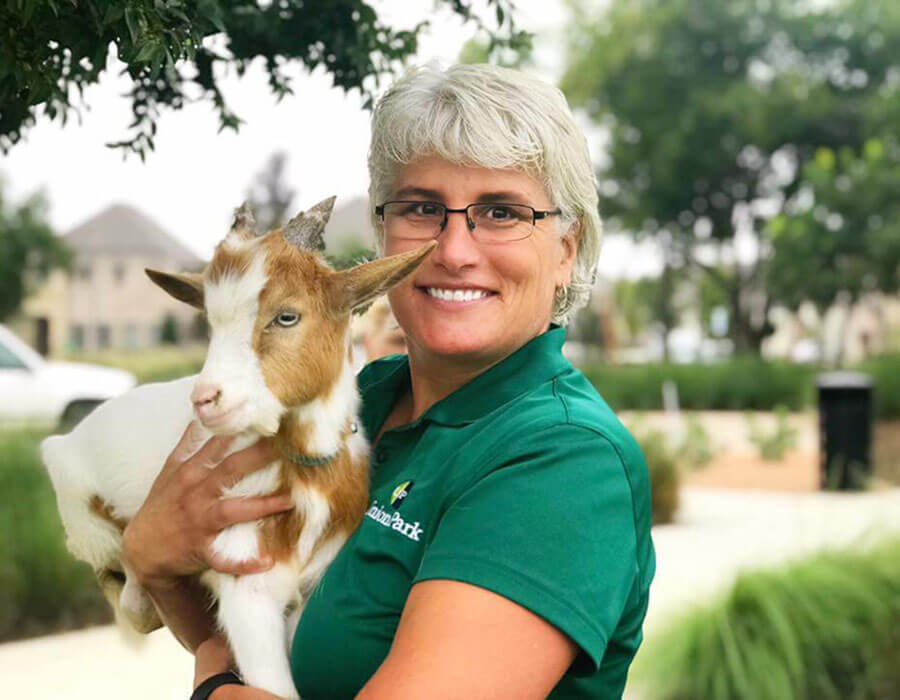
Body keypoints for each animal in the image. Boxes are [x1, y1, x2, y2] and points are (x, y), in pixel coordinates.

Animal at [42, 198, 436, 700]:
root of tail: (58, 445)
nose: (206, 398)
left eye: (286, 315)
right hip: (91, 529)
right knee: (127, 591)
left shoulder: (309, 583)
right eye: (209, 323)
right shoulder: (245, 583)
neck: (304, 471)